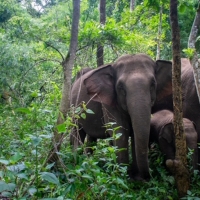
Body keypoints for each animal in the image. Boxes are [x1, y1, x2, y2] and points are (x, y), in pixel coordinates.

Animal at [70, 52, 172, 180]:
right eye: (120, 87)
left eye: (153, 84)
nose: (149, 176)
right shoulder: (108, 103)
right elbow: (120, 132)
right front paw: (124, 176)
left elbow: (135, 133)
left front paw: (136, 177)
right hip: (74, 108)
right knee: (77, 131)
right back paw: (77, 161)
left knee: (91, 136)